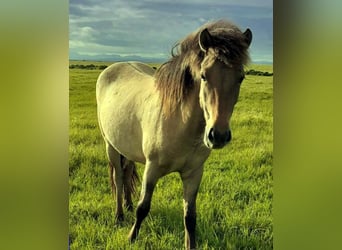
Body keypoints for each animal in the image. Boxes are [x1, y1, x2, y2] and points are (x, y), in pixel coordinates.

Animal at [96, 20, 251, 250]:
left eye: (240, 77)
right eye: (204, 76)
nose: (218, 136)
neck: (180, 123)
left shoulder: (194, 173)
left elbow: (190, 217)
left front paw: (190, 245)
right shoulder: (151, 169)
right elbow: (143, 207)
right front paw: (131, 238)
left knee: (126, 171)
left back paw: (127, 204)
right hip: (111, 146)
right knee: (118, 176)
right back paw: (119, 216)